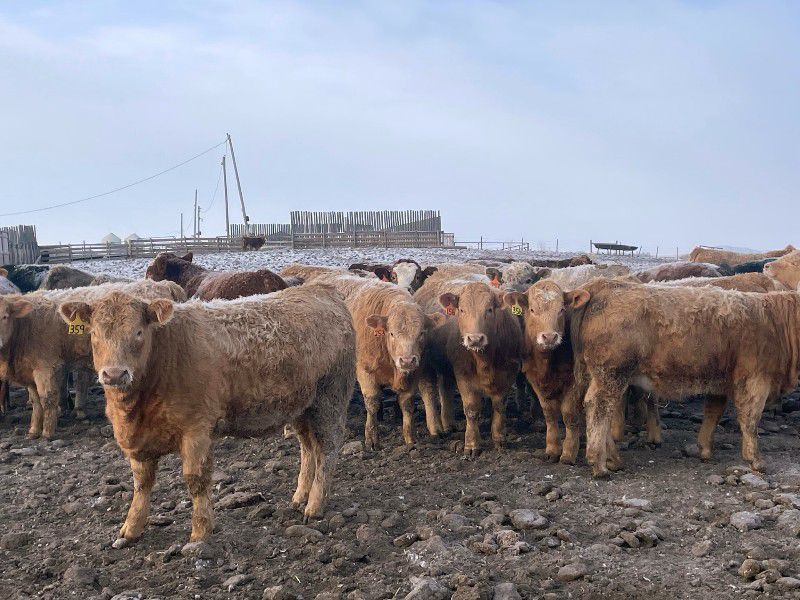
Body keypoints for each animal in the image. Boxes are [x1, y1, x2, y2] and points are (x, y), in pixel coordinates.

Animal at [0, 280, 186, 438]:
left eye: (5, 316)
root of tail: (163, 284)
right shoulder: (30, 370)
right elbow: (36, 400)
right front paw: (33, 430)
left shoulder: (45, 366)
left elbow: (48, 398)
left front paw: (47, 432)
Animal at [58, 286, 356, 544]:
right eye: (94, 333)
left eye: (139, 332)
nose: (114, 374)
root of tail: (320, 290)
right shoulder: (137, 440)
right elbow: (141, 483)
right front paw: (132, 527)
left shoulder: (197, 429)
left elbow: (196, 479)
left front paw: (201, 531)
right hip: (302, 405)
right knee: (309, 447)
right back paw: (300, 496)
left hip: (330, 397)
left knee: (328, 447)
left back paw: (315, 505)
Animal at [314, 273, 446, 448]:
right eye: (391, 333)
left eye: (422, 333)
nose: (407, 361)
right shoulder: (365, 371)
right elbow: (372, 403)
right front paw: (371, 437)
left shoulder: (412, 374)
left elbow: (407, 404)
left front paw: (410, 438)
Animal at [420, 282, 523, 456]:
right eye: (462, 310)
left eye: (489, 309)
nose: (475, 339)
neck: (484, 359)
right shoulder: (463, 375)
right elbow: (471, 409)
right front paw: (471, 444)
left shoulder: (509, 373)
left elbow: (499, 406)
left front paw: (499, 439)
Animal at [568, 279, 800, 477]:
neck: (776, 322)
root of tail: (604, 284)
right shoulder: (755, 380)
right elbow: (750, 419)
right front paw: (756, 460)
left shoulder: (719, 383)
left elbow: (713, 413)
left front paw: (705, 449)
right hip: (611, 374)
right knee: (598, 408)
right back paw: (599, 464)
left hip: (594, 375)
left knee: (595, 409)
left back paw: (613, 460)